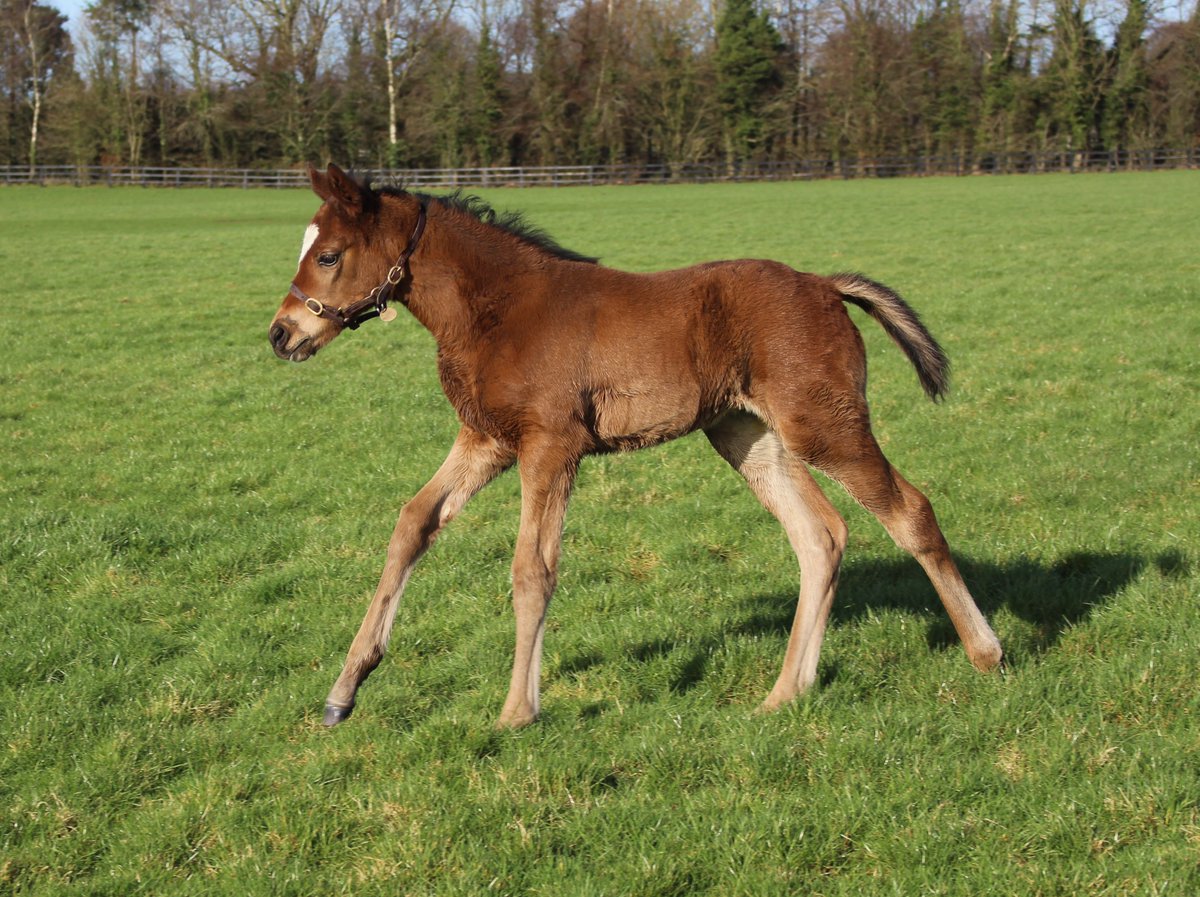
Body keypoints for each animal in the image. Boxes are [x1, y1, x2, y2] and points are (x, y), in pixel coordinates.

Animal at [268, 163, 1002, 729]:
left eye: (329, 255)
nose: (281, 333)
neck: (498, 309)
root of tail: (825, 284)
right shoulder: (486, 440)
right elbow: (412, 523)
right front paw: (344, 690)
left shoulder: (550, 446)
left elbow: (533, 570)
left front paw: (517, 711)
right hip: (750, 435)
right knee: (820, 535)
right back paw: (784, 693)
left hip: (825, 424)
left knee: (910, 511)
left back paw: (986, 652)